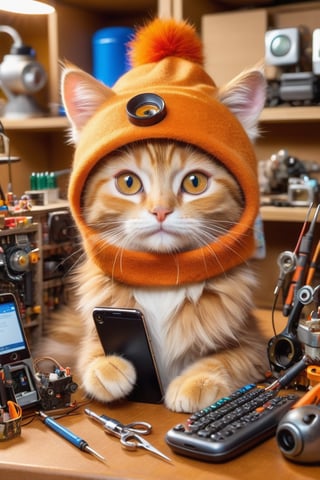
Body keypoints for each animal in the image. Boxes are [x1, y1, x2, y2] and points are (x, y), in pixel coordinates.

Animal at [40, 18, 270, 412]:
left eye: (195, 182)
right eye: (129, 182)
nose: (161, 210)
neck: (163, 280)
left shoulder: (253, 339)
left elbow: (228, 357)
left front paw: (196, 380)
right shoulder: (89, 327)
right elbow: (85, 352)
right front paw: (107, 366)